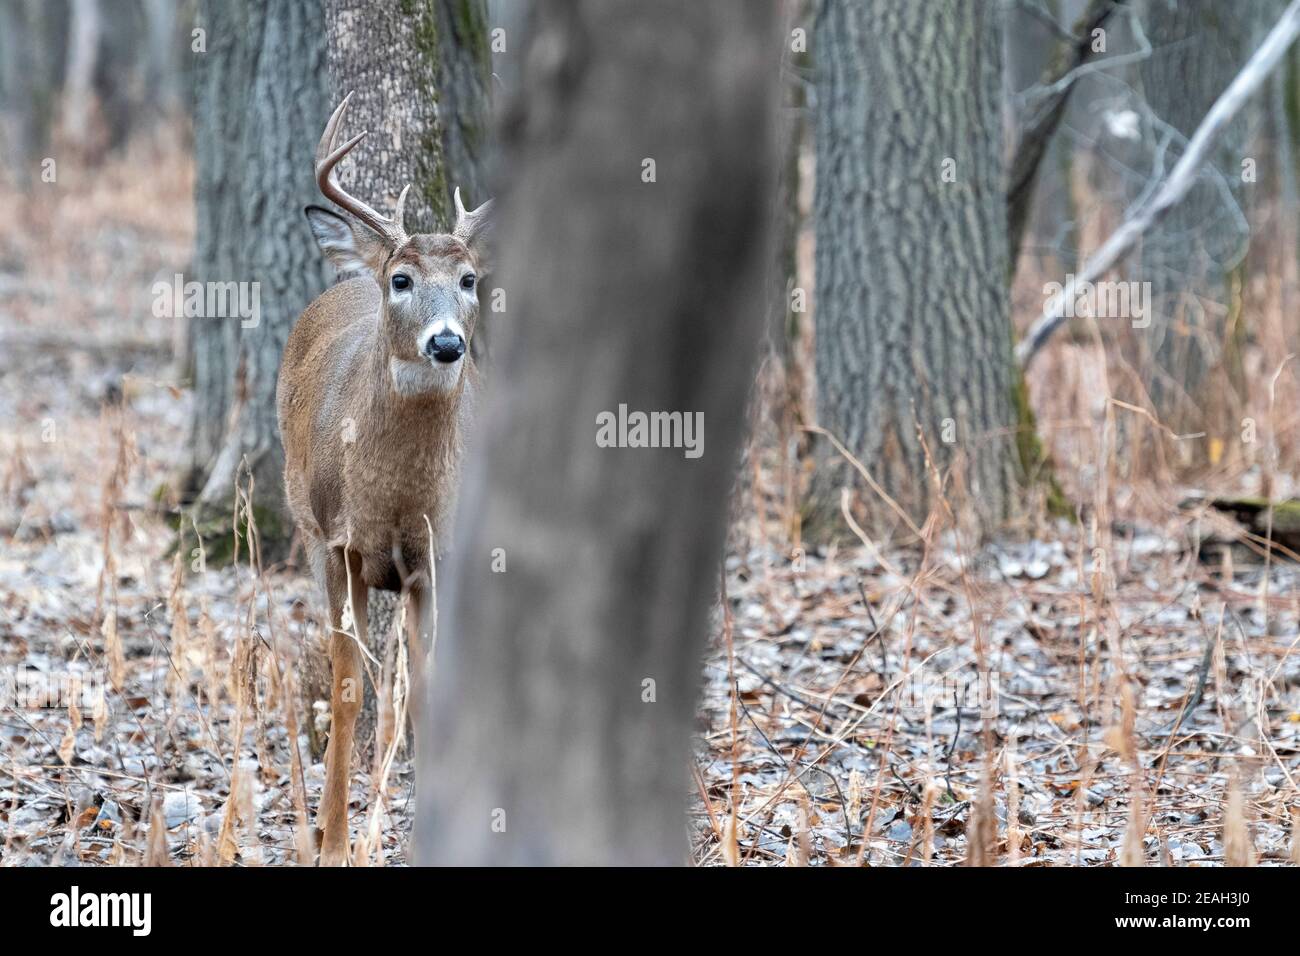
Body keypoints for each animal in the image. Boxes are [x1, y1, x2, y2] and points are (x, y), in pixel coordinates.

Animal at [276, 93, 493, 866]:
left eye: (468, 281)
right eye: (402, 279)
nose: (447, 342)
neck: (394, 495)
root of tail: (347, 275)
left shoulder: (434, 553)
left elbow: (424, 693)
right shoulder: (340, 542)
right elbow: (346, 688)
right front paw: (336, 842)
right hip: (306, 523)